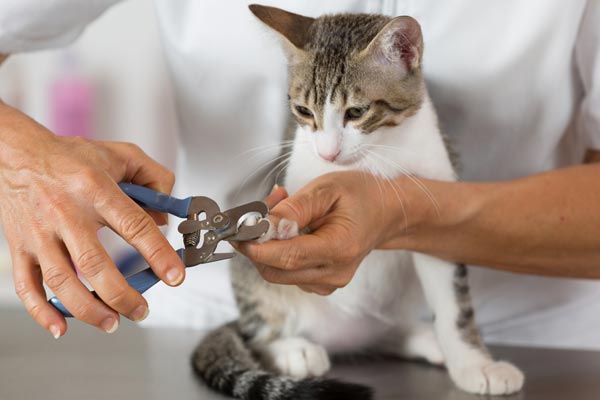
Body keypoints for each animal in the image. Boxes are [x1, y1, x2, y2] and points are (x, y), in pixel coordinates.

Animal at [190, 3, 524, 400]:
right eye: (304, 111)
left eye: (357, 112)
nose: (328, 153)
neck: (374, 158)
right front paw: (278, 224)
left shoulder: (438, 201)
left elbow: (454, 305)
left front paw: (474, 363)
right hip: (259, 293)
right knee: (257, 329)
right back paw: (291, 348)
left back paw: (419, 337)